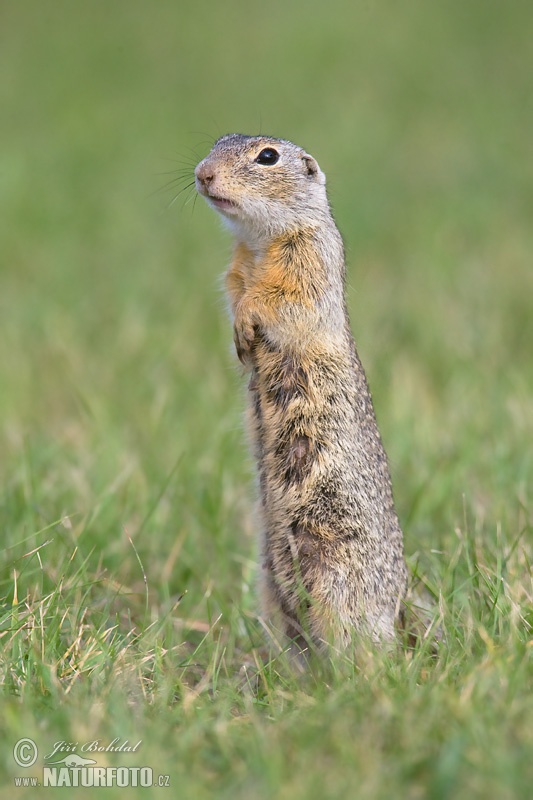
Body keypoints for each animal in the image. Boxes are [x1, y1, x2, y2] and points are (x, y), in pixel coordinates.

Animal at [195, 133, 408, 656]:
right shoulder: (236, 265)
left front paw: (248, 322)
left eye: (267, 157)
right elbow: (235, 290)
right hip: (270, 589)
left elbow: (280, 297)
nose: (202, 174)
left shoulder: (309, 256)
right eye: (217, 142)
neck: (260, 240)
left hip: (338, 580)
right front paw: (239, 340)